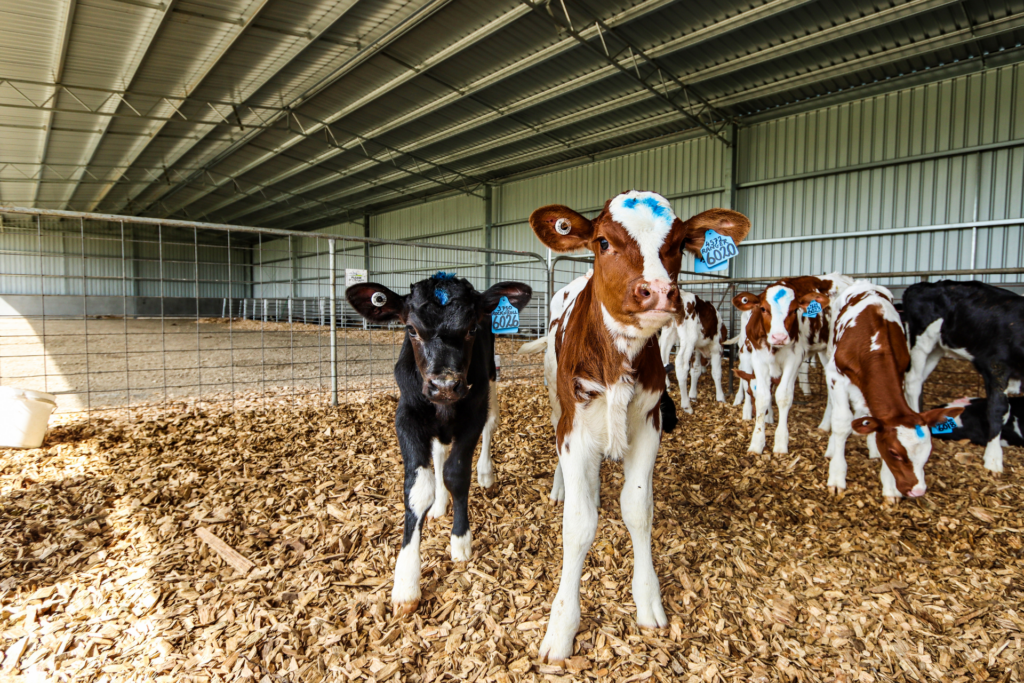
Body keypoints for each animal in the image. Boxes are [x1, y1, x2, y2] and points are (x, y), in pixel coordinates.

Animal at [348, 274, 532, 618]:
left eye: (472, 327)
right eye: (411, 329)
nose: (444, 385)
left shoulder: (473, 413)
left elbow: (457, 474)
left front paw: (460, 540)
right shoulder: (406, 416)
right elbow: (418, 487)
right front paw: (406, 582)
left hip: (491, 377)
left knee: (491, 424)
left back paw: (485, 473)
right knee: (439, 452)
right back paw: (439, 504)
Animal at [524, 191, 749, 663]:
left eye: (679, 245)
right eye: (604, 242)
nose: (660, 291)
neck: (618, 362)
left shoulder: (649, 424)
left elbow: (638, 509)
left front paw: (648, 599)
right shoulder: (574, 429)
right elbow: (578, 523)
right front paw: (562, 625)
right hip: (555, 399)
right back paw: (562, 486)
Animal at [733, 270, 851, 454]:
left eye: (795, 310)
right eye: (763, 308)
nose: (779, 337)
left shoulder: (794, 358)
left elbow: (783, 396)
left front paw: (781, 443)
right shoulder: (757, 357)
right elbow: (763, 397)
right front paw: (757, 443)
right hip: (824, 353)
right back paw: (825, 425)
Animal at [819, 280, 962, 499]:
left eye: (928, 452)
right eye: (895, 453)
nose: (917, 490)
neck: (875, 343)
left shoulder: (900, 373)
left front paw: (890, 486)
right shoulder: (837, 375)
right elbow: (842, 423)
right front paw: (836, 476)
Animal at [905, 280, 1024, 473]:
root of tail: (923, 284)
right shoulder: (995, 366)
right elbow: (997, 410)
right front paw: (993, 458)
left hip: (938, 349)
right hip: (921, 340)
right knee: (912, 382)